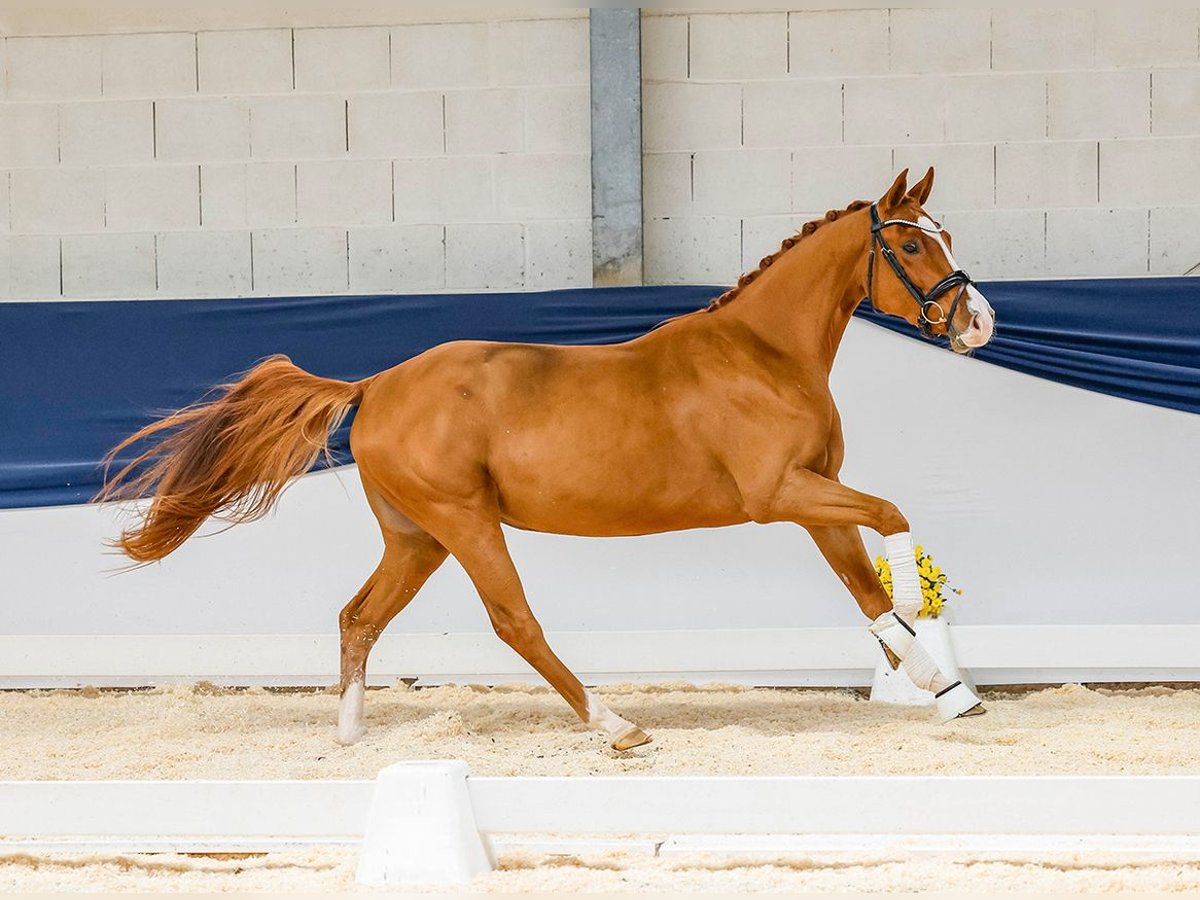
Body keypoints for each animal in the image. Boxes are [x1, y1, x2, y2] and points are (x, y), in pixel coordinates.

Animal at [98, 169, 993, 748]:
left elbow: (863, 592)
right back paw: (616, 727)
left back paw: (351, 736)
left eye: (946, 235)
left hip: (416, 537)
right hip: (463, 523)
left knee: (361, 616)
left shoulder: (815, 494)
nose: (979, 322)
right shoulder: (780, 494)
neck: (763, 354)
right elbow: (892, 522)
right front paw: (924, 626)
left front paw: (948, 691)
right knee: (512, 620)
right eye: (912, 245)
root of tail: (375, 385)